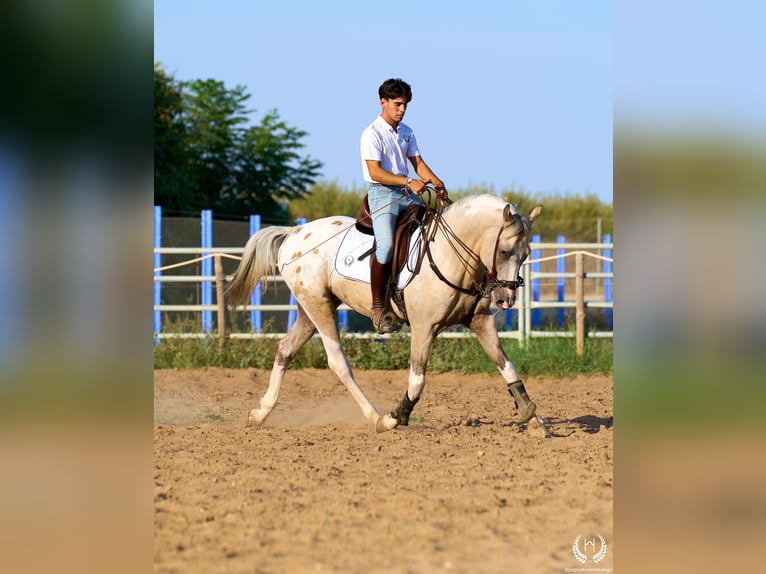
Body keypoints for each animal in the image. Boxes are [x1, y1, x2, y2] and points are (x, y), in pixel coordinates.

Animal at [226, 194, 547, 434]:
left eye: (526, 254)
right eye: (504, 252)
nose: (505, 299)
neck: (449, 255)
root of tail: (294, 233)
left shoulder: (480, 323)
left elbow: (507, 367)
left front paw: (532, 417)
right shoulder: (424, 328)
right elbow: (417, 381)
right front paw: (395, 417)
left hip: (310, 310)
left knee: (285, 350)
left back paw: (260, 413)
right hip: (318, 307)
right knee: (338, 362)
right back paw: (375, 416)